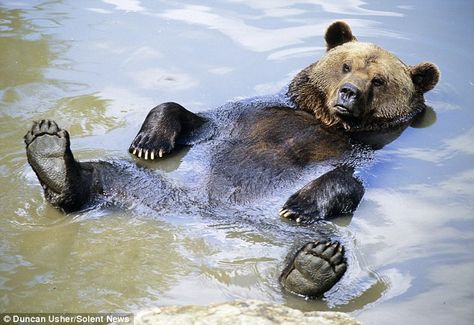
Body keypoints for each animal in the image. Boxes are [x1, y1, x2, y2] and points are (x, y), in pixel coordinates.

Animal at [24, 21, 438, 298]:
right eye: (346, 65)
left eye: (380, 80)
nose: (349, 92)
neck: (323, 119)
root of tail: (203, 212)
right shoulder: (249, 114)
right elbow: (189, 116)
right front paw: (149, 142)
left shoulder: (358, 153)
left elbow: (346, 182)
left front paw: (299, 205)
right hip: (145, 185)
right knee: (102, 174)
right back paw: (51, 155)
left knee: (330, 248)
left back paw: (313, 267)